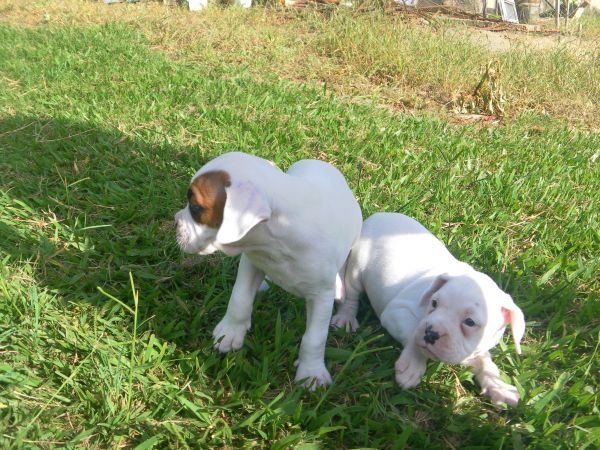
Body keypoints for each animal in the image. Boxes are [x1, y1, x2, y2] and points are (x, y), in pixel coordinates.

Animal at [173, 152, 360, 390]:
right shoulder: (252, 262)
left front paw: (311, 372)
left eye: (195, 207)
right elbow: (240, 298)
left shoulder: (322, 295)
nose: (174, 222)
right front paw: (230, 332)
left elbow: (314, 338)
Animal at [332, 213, 524, 406]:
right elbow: (413, 334)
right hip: (356, 268)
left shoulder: (475, 350)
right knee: (351, 294)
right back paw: (345, 317)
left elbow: (486, 363)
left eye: (470, 322)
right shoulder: (397, 311)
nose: (431, 333)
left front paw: (498, 386)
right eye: (434, 303)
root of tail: (378, 215)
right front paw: (413, 364)